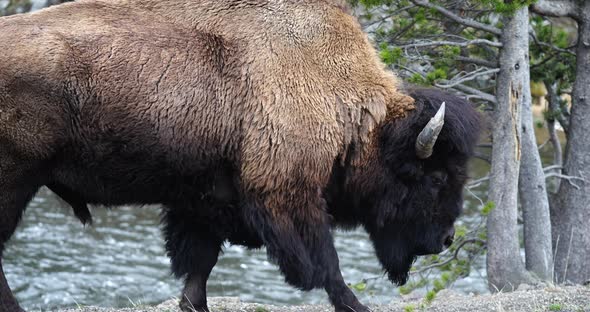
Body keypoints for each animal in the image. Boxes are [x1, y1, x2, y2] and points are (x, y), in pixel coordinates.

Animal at [0, 0, 480, 312]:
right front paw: (355, 305)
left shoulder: (203, 200)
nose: (445, 239)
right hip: (16, 183)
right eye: (437, 178)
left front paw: (195, 305)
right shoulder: (288, 196)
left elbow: (200, 264)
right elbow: (327, 266)